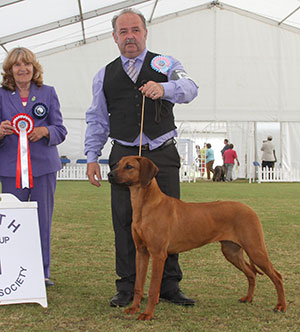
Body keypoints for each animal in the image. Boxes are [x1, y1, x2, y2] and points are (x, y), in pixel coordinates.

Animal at [107, 156, 286, 320]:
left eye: (129, 166)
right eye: (117, 164)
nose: (109, 174)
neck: (144, 205)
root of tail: (250, 209)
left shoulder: (158, 255)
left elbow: (152, 289)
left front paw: (147, 314)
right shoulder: (141, 252)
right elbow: (138, 285)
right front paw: (134, 308)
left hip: (255, 249)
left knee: (277, 276)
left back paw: (280, 306)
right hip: (231, 251)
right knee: (251, 273)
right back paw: (248, 298)